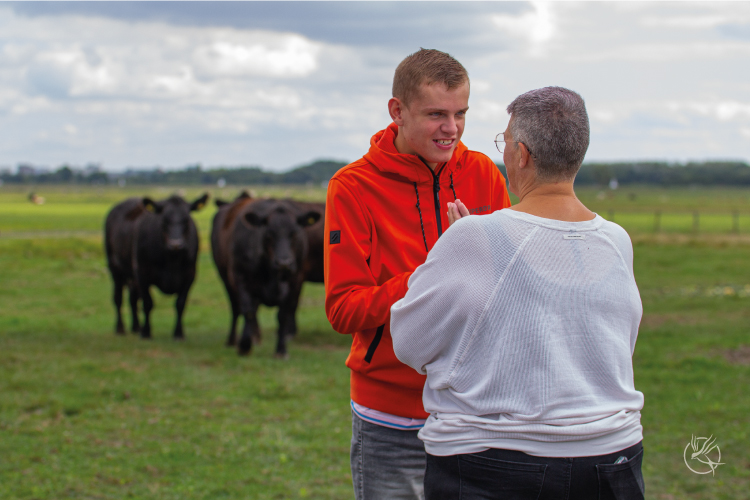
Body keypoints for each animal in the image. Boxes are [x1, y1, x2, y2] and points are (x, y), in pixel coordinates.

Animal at [103, 194, 209, 340]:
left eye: (187, 219)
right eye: (164, 219)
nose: (176, 244)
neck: (172, 259)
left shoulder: (190, 276)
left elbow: (180, 303)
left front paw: (178, 333)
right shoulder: (142, 274)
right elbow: (148, 303)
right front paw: (146, 332)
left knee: (133, 298)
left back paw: (136, 326)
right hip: (115, 269)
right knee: (118, 298)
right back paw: (120, 328)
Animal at [213, 195, 328, 356]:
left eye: (294, 233)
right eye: (268, 234)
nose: (284, 263)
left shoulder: (295, 280)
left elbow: (283, 313)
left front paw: (281, 349)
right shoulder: (241, 279)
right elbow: (248, 311)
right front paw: (245, 345)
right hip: (226, 279)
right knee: (236, 309)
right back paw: (234, 340)